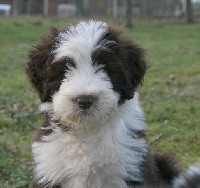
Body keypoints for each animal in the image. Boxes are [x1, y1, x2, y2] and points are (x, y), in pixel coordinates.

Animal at [24, 20, 197, 188]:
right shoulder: (50, 173)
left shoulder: (129, 170)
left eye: (105, 66)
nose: (84, 100)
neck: (88, 132)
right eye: (64, 69)